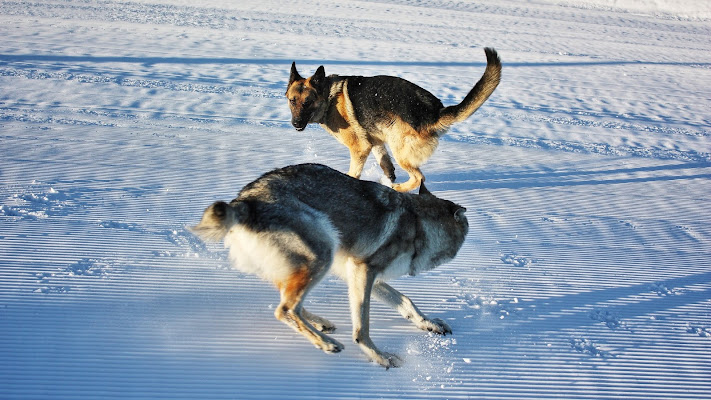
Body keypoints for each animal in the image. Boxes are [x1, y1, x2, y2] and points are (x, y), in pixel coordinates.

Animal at [192, 163, 470, 368]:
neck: (418, 223)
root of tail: (243, 201)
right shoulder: (364, 271)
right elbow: (362, 328)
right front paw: (380, 357)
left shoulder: (364, 276)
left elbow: (407, 302)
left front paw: (429, 324)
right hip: (320, 256)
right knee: (284, 309)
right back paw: (326, 343)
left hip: (300, 267)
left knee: (290, 303)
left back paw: (320, 324)